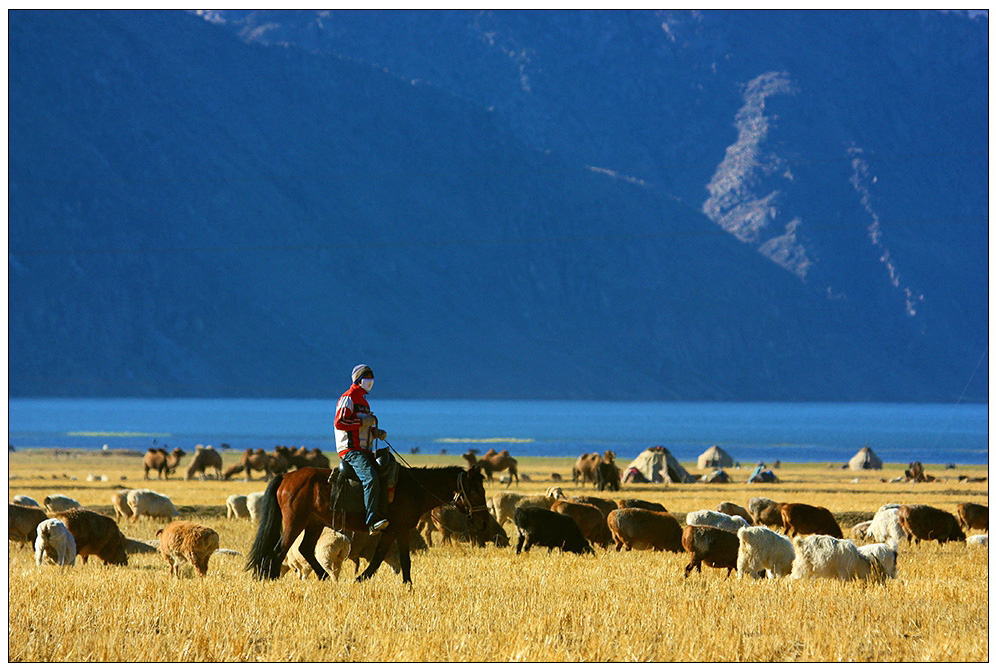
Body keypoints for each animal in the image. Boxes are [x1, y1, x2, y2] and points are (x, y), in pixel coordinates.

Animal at [245, 464, 486, 584]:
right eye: (475, 491)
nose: (481, 521)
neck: (415, 488)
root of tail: (286, 476)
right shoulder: (397, 529)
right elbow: (384, 559)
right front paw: (361, 580)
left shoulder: (397, 530)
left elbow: (396, 559)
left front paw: (406, 584)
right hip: (295, 521)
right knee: (279, 550)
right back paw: (270, 578)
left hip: (314, 522)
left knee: (305, 548)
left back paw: (325, 578)